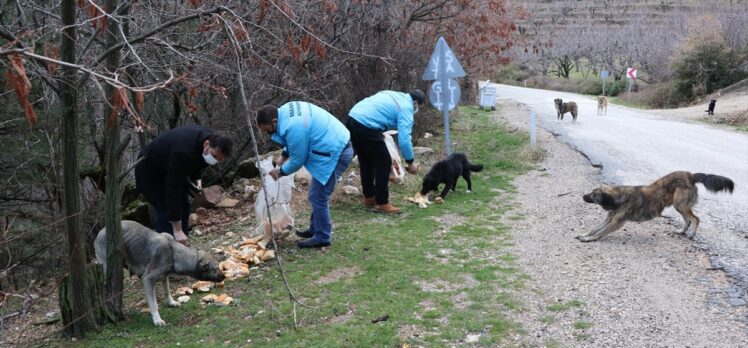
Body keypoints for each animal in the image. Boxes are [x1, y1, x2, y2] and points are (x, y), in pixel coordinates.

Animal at [580, 171, 736, 242]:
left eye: (593, 194)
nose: (583, 196)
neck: (619, 197)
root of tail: (690, 175)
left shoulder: (617, 222)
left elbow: (601, 232)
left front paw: (589, 239)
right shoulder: (609, 219)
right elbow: (595, 228)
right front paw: (585, 234)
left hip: (680, 204)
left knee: (695, 219)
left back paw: (691, 234)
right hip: (679, 205)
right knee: (688, 220)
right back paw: (682, 231)